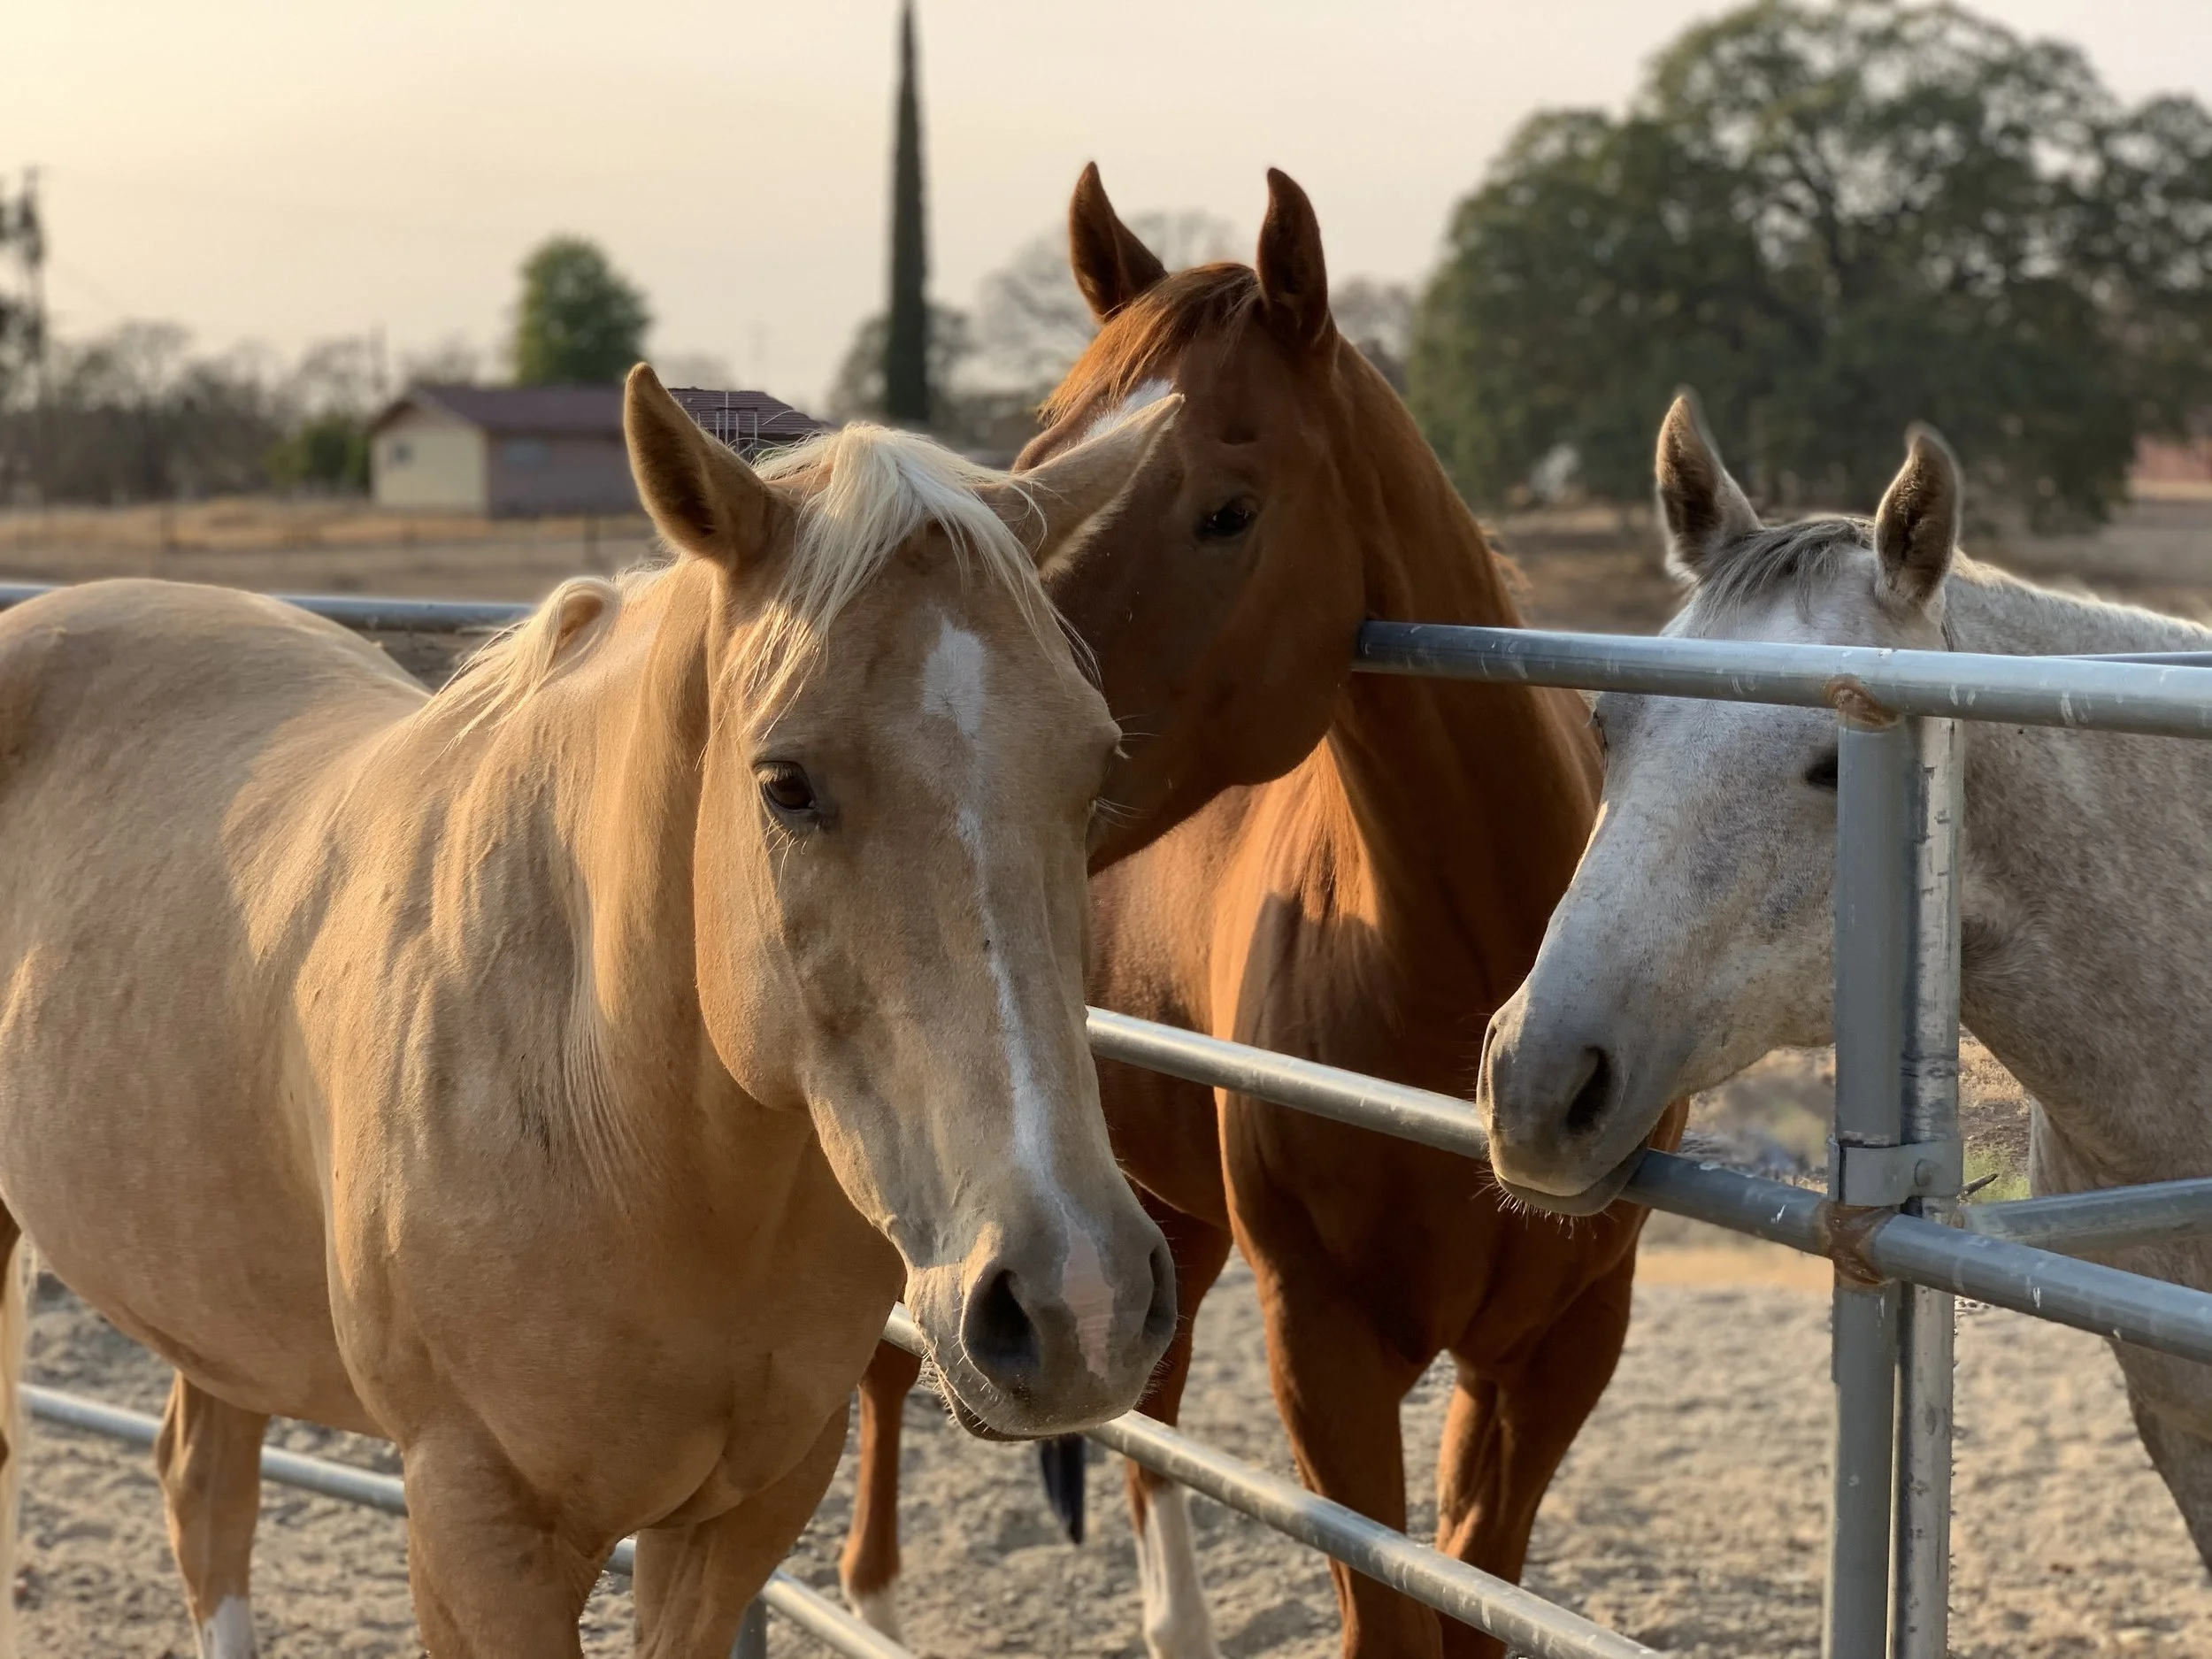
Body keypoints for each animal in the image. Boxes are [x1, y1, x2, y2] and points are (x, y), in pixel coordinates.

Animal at [0, 365, 1185, 1658]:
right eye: (786, 783)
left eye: (1097, 769)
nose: (1081, 1300)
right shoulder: (475, 1526)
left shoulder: (747, 1508)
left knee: (205, 1490)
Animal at [838, 165, 1685, 1659]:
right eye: (1035, 467)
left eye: (1228, 509)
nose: (985, 746)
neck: (1460, 977)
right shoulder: (1325, 1346)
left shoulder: (1555, 1349)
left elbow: (1470, 1591)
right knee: (894, 1375)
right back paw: (873, 1601)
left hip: (1152, 1217)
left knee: (1150, 1405)